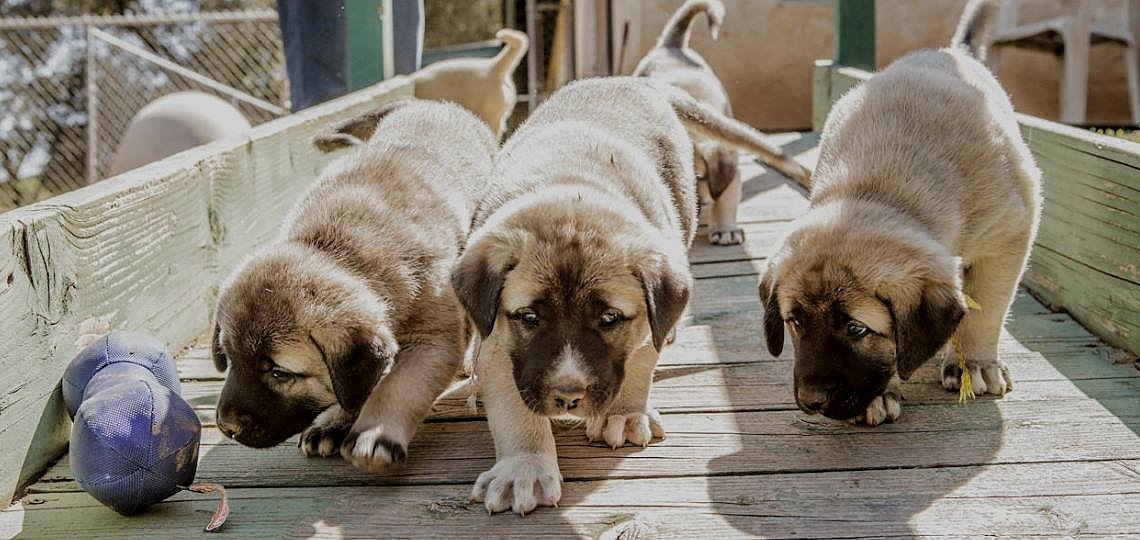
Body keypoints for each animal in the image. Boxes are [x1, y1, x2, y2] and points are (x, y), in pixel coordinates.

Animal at [213, 99, 494, 469]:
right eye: (229, 358)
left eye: (280, 374)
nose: (225, 426)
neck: (334, 250)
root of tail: (429, 103)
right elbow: (354, 389)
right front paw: (334, 421)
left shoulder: (432, 340)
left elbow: (396, 386)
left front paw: (374, 433)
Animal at [451, 75, 811, 514]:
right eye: (529, 318)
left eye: (610, 319)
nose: (568, 396)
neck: (571, 186)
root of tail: (634, 79)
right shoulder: (501, 346)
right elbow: (515, 406)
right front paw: (526, 467)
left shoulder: (644, 318)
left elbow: (640, 361)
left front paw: (624, 413)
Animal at [756, 1, 1044, 426]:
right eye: (794, 321)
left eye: (856, 330)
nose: (811, 401)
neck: (875, 188)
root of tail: (951, 51)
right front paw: (881, 395)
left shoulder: (1008, 238)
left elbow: (987, 308)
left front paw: (975, 363)